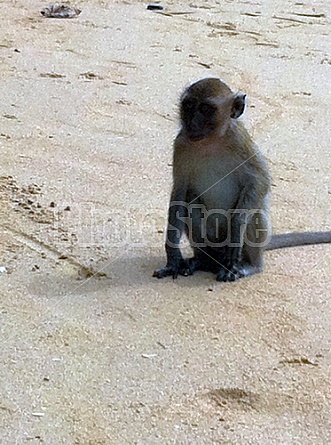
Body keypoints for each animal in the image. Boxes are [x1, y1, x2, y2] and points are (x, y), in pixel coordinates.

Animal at [154, 76, 331, 280]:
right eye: (189, 105)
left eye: (206, 109)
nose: (192, 123)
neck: (210, 142)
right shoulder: (181, 144)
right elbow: (180, 193)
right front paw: (173, 259)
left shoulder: (239, 139)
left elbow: (260, 180)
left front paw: (237, 227)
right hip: (213, 241)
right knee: (191, 200)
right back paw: (203, 260)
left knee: (254, 211)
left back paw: (250, 265)